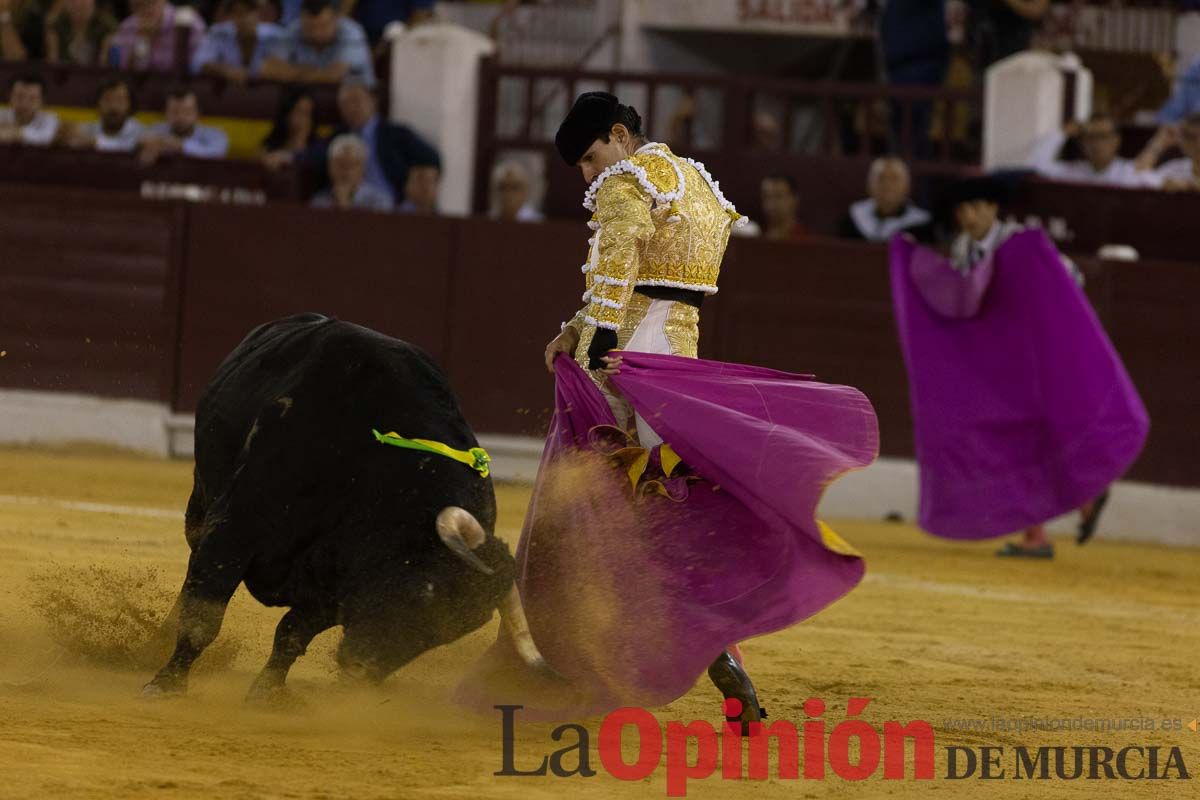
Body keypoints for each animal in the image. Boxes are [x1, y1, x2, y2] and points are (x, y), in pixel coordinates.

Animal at [144, 311, 549, 700]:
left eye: (448, 633)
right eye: (423, 593)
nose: (361, 670)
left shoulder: (334, 585)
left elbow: (291, 634)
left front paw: (268, 693)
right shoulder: (235, 530)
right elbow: (204, 614)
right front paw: (167, 683)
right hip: (201, 501)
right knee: (193, 565)